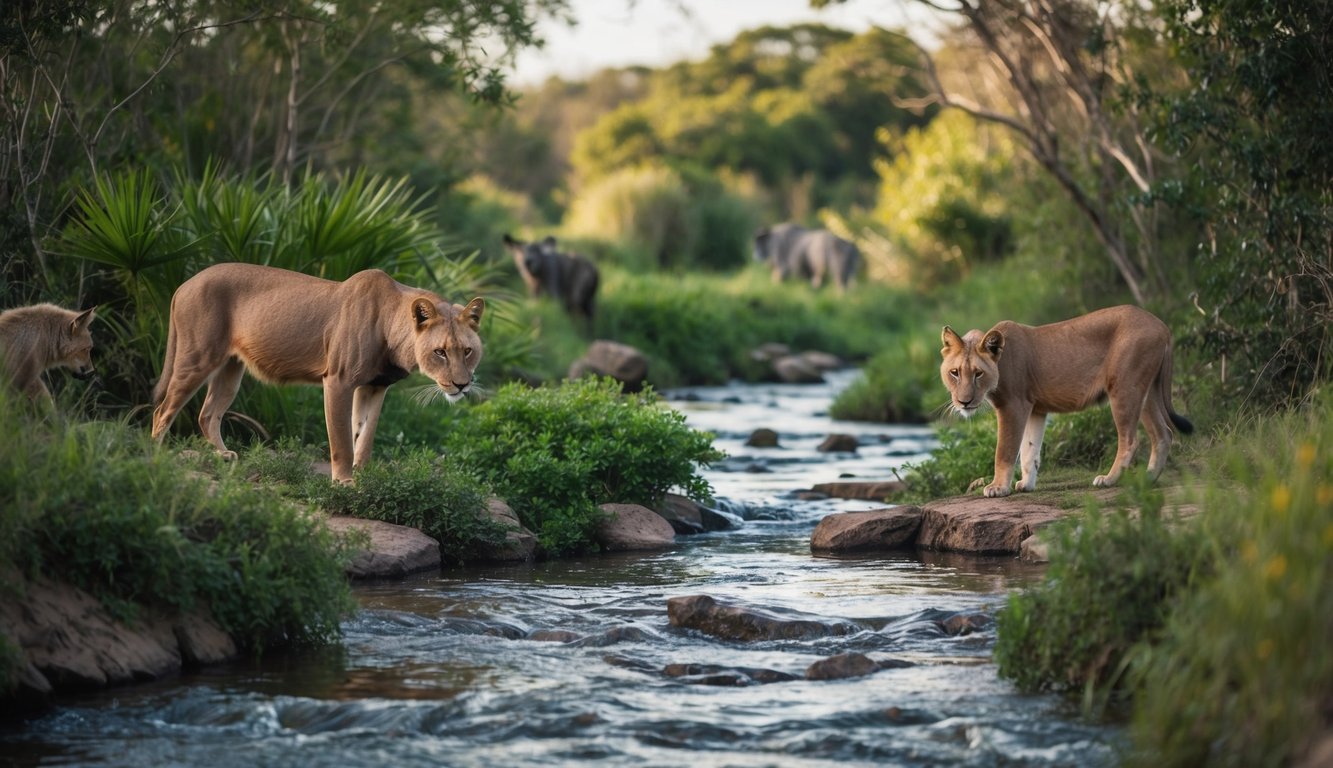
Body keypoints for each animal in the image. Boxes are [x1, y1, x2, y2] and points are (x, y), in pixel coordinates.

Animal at [152, 261, 485, 482]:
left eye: (467, 351)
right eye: (440, 352)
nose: (461, 385)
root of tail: (184, 284)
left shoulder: (375, 386)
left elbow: (364, 436)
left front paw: (364, 479)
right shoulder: (339, 380)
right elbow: (342, 440)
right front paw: (345, 483)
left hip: (231, 369)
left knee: (207, 414)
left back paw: (223, 455)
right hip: (197, 357)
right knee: (163, 410)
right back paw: (155, 456)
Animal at [943, 306, 1194, 498]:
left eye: (978, 374)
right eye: (954, 373)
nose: (964, 402)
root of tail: (1161, 324)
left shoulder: (1013, 405)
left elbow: (1005, 449)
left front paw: (997, 488)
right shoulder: (1035, 409)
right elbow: (1029, 450)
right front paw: (1026, 485)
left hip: (1124, 387)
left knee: (1130, 440)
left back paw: (1109, 479)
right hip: (1147, 391)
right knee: (1163, 433)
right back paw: (1150, 477)